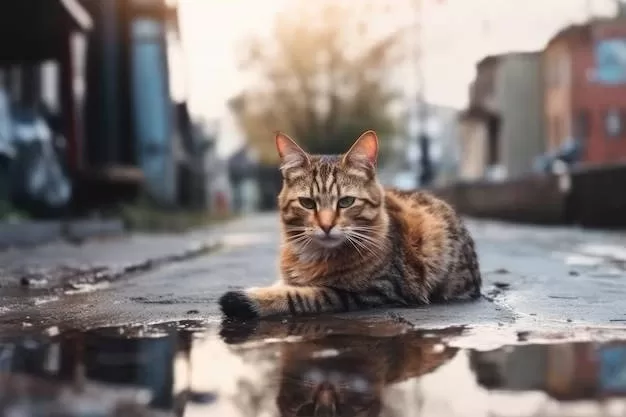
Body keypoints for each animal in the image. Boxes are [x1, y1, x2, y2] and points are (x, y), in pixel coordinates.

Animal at [217, 131, 480, 318]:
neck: (313, 256)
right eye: (307, 203)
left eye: (346, 202)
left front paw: (246, 300)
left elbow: (303, 296)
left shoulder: (373, 291)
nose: (326, 225)